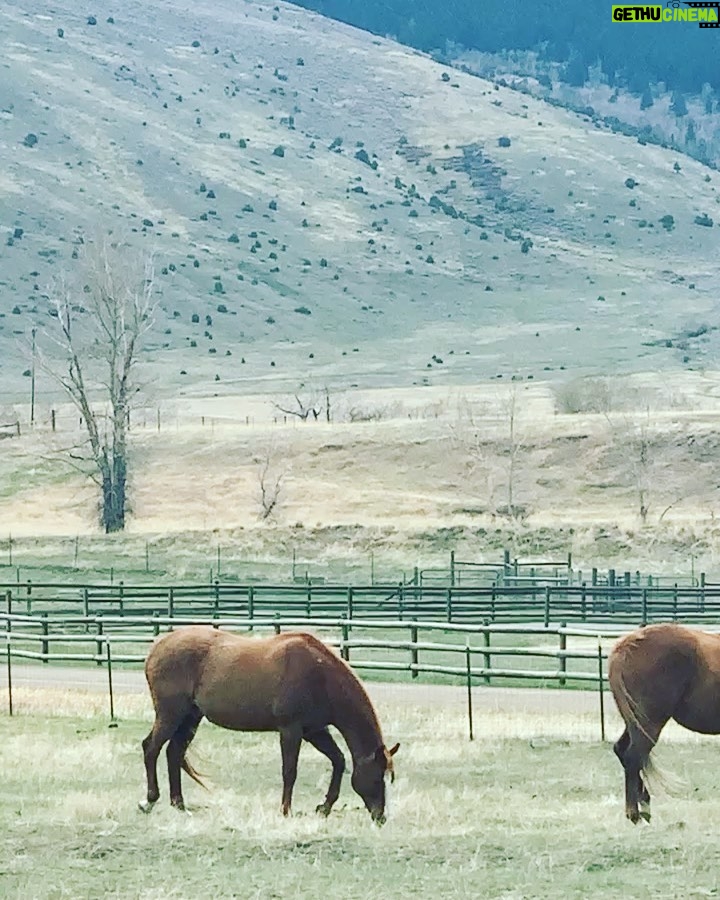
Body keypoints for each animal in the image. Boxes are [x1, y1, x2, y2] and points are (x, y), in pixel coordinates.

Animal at [139, 626, 399, 824]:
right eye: (378, 777)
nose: (381, 817)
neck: (321, 675)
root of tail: (157, 647)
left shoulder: (315, 731)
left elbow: (339, 761)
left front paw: (324, 807)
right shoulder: (291, 731)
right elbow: (290, 771)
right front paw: (286, 810)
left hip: (190, 718)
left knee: (174, 753)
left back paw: (179, 804)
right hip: (170, 715)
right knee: (151, 748)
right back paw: (150, 800)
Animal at [608, 622, 720, 823]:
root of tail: (627, 645)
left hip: (635, 723)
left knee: (621, 751)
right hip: (650, 722)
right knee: (633, 756)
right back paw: (634, 814)